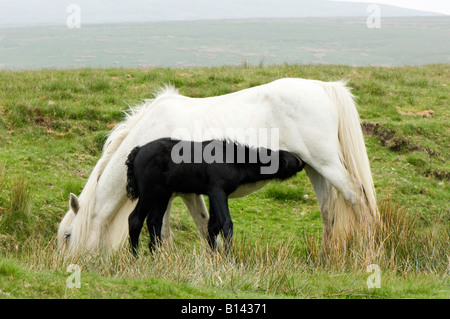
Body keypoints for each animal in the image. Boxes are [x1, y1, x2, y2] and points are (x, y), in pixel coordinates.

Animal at [125, 138, 304, 255]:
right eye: (293, 160)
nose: (303, 162)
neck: (234, 160)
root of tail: (138, 150)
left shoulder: (212, 194)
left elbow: (212, 226)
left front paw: (213, 257)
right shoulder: (218, 192)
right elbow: (226, 224)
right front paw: (228, 257)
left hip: (162, 194)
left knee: (154, 221)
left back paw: (156, 254)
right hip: (149, 192)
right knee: (135, 219)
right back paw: (135, 256)